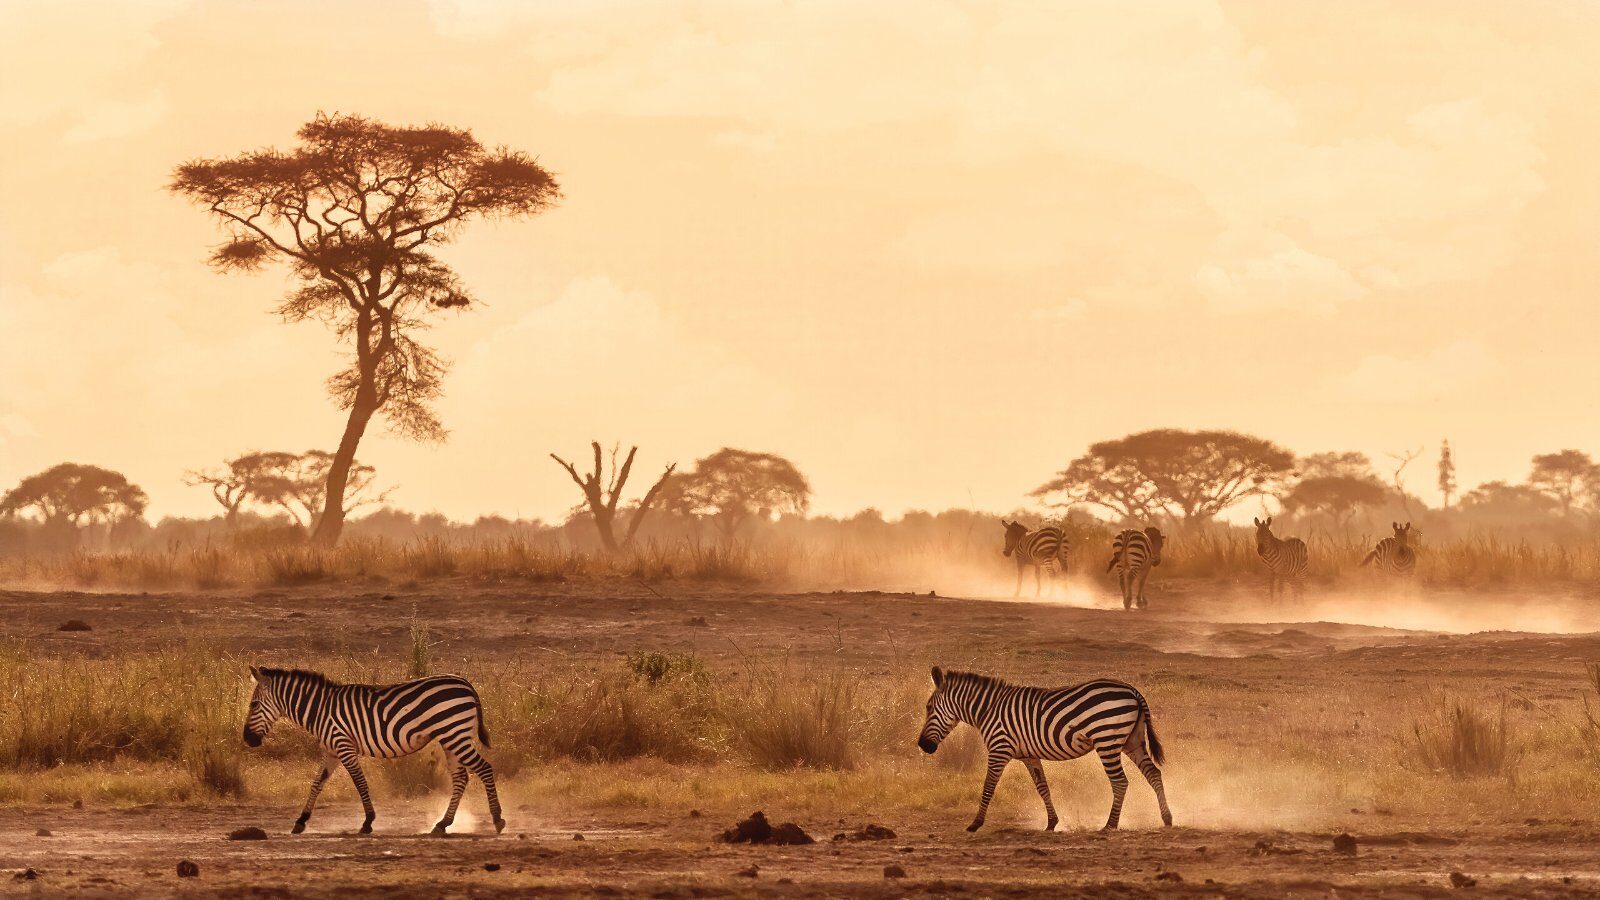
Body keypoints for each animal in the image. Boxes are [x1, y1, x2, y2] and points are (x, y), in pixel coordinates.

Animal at [242, 666, 504, 836]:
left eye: (253, 705)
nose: (247, 739)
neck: (320, 710)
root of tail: (465, 682)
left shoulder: (344, 746)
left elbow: (360, 783)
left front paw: (367, 822)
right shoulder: (331, 751)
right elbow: (317, 783)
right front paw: (301, 821)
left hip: (455, 734)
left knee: (484, 769)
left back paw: (498, 819)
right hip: (451, 738)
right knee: (461, 778)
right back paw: (442, 824)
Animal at [918, 667, 1172, 833]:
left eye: (928, 707)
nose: (923, 745)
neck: (988, 710)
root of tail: (1132, 691)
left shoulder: (999, 749)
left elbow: (988, 786)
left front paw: (975, 823)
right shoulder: (1030, 756)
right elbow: (1043, 788)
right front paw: (1051, 823)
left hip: (1107, 740)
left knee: (1120, 782)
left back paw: (1110, 825)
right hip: (1132, 741)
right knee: (1153, 774)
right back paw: (1167, 818)